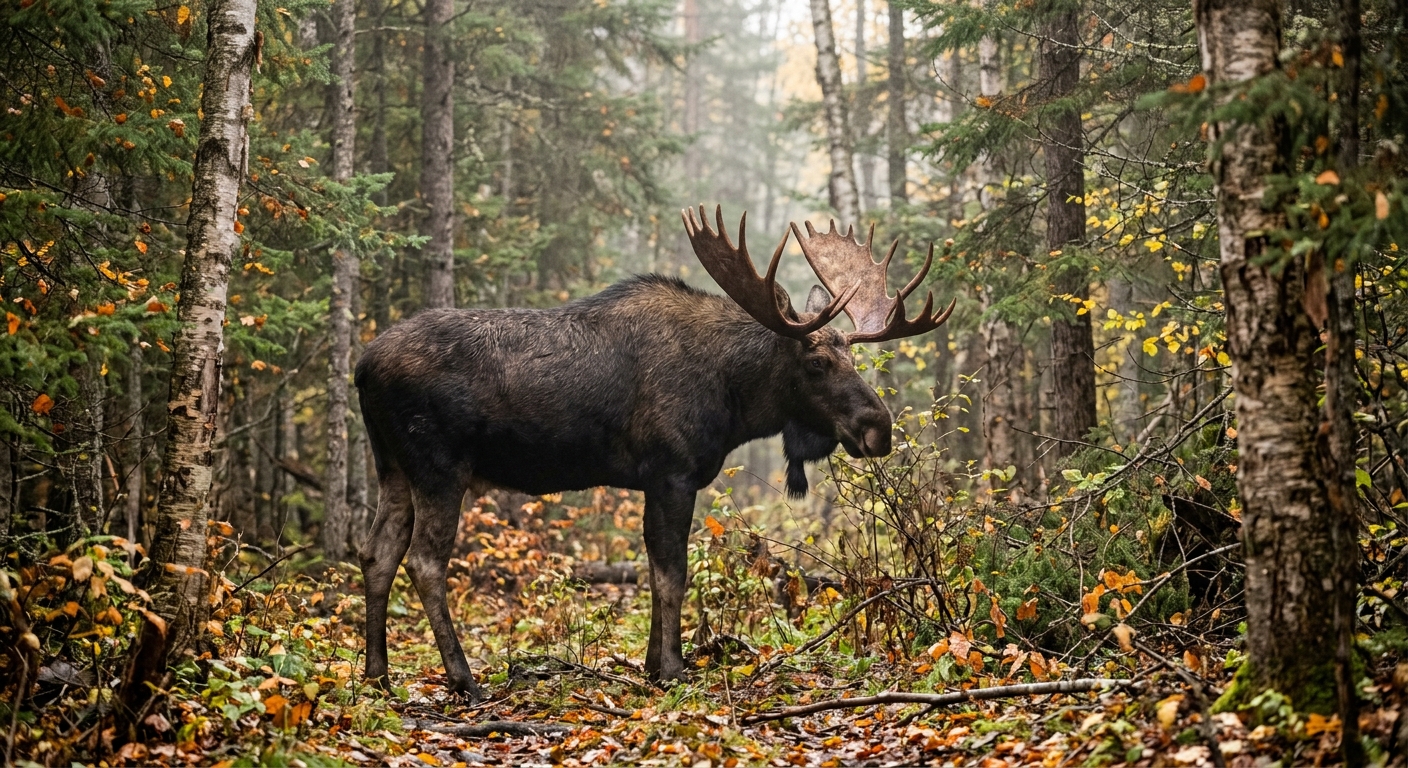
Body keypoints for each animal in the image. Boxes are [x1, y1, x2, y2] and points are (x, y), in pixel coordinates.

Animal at [354, 206, 954, 701]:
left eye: (851, 356)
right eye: (816, 363)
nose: (878, 429)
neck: (734, 399)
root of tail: (361, 367)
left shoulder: (653, 480)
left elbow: (651, 569)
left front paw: (649, 664)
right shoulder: (673, 471)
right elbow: (672, 573)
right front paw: (672, 668)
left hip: (392, 467)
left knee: (376, 553)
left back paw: (377, 674)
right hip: (439, 466)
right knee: (424, 562)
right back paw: (463, 679)